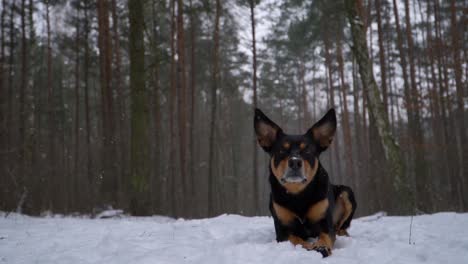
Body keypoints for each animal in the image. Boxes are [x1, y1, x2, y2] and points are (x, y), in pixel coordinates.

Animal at [254, 108, 356, 256]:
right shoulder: (283, 230)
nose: (295, 162)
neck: (299, 196)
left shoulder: (325, 224)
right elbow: (297, 241)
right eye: (282, 150)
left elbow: (325, 236)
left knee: (341, 226)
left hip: (346, 192)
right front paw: (309, 247)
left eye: (307, 150)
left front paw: (321, 246)